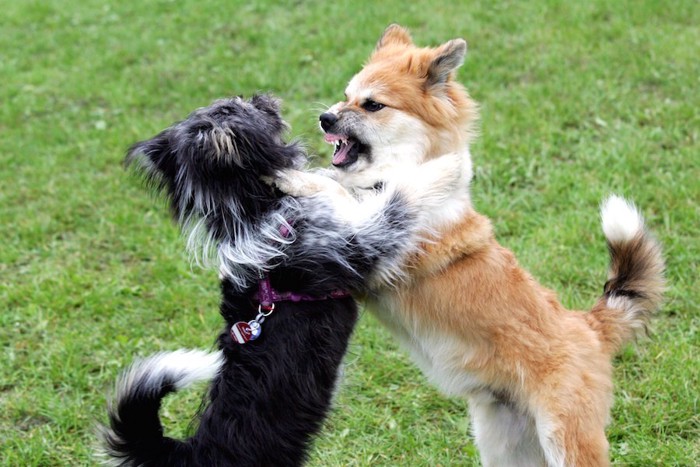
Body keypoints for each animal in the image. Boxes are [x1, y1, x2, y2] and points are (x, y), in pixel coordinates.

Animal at [100, 93, 460, 466]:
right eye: (232, 108)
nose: (260, 96)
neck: (252, 208)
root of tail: (192, 453)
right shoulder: (363, 242)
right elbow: (399, 200)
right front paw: (446, 167)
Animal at [278, 25, 660, 467]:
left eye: (372, 105)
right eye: (345, 95)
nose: (325, 118)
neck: (399, 173)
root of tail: (590, 327)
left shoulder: (377, 231)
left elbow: (338, 194)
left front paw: (292, 176)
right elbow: (338, 188)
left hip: (564, 438)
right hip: (503, 442)